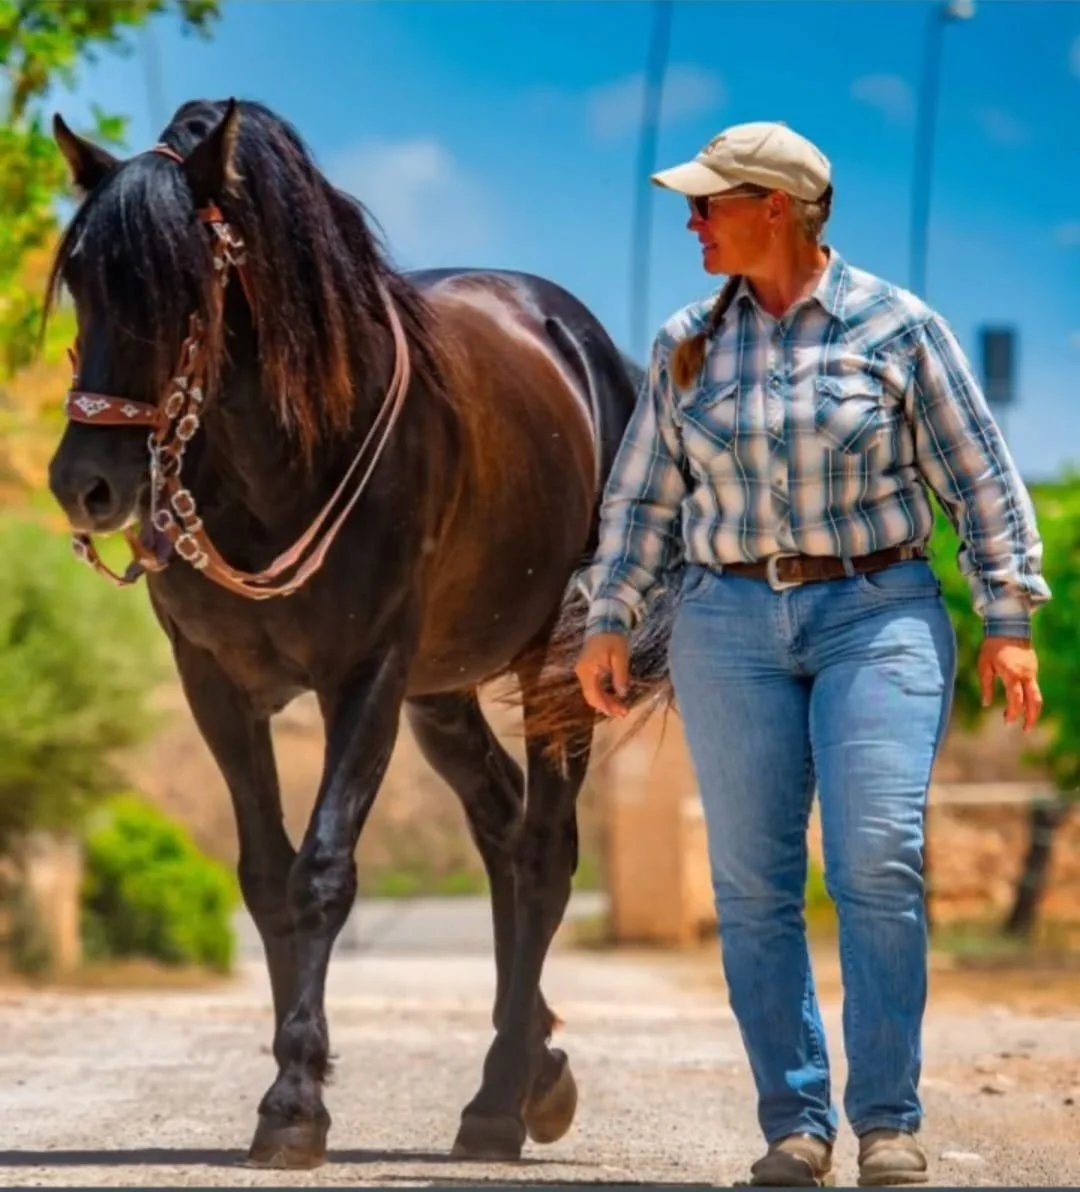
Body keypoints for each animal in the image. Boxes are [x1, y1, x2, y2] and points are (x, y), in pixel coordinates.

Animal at [44, 97, 672, 1168]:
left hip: (553, 671)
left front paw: (295, 1101)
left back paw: (498, 1099)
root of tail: (589, 350)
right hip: (443, 692)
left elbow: (324, 873)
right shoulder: (215, 683)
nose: (86, 482)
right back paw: (535, 1065)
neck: (279, 459)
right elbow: (266, 877)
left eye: (182, 287)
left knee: (543, 851)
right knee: (501, 829)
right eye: (81, 274)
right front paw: (290, 1079)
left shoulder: (368, 678)